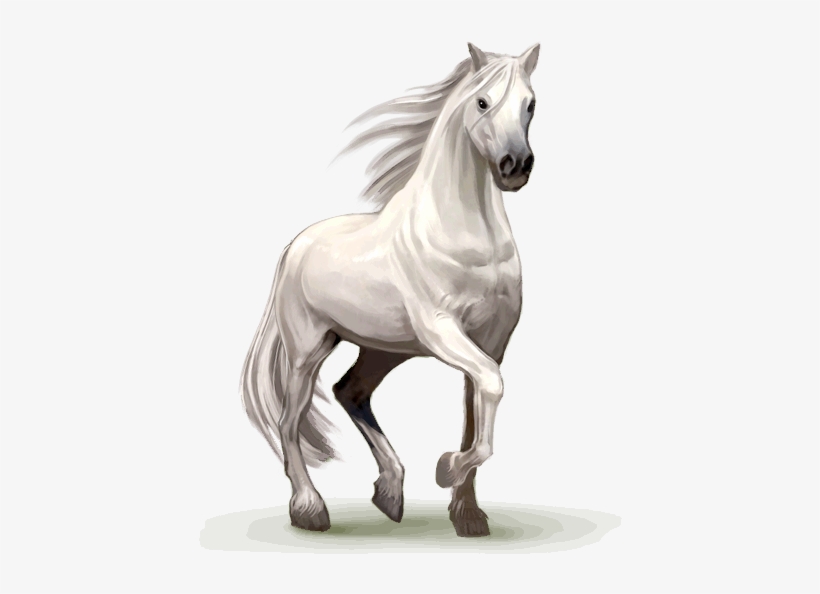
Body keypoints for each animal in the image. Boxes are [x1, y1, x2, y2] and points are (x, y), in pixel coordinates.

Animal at [240, 42, 540, 537]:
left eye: (530, 104)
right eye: (482, 102)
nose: (515, 167)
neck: (463, 234)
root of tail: (294, 247)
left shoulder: (491, 341)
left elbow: (477, 410)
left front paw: (468, 514)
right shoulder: (443, 330)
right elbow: (491, 389)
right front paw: (446, 469)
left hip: (383, 349)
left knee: (350, 392)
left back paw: (390, 492)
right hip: (308, 350)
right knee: (288, 420)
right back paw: (310, 509)